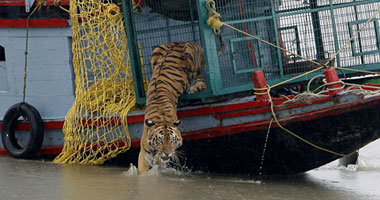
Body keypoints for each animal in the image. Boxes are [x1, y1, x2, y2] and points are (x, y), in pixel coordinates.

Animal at [138, 41, 206, 173]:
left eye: (172, 140)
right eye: (160, 140)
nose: (167, 153)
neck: (161, 118)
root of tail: (180, 41)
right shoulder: (143, 152)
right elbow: (143, 170)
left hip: (190, 55)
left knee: (202, 79)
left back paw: (195, 87)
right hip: (155, 52)